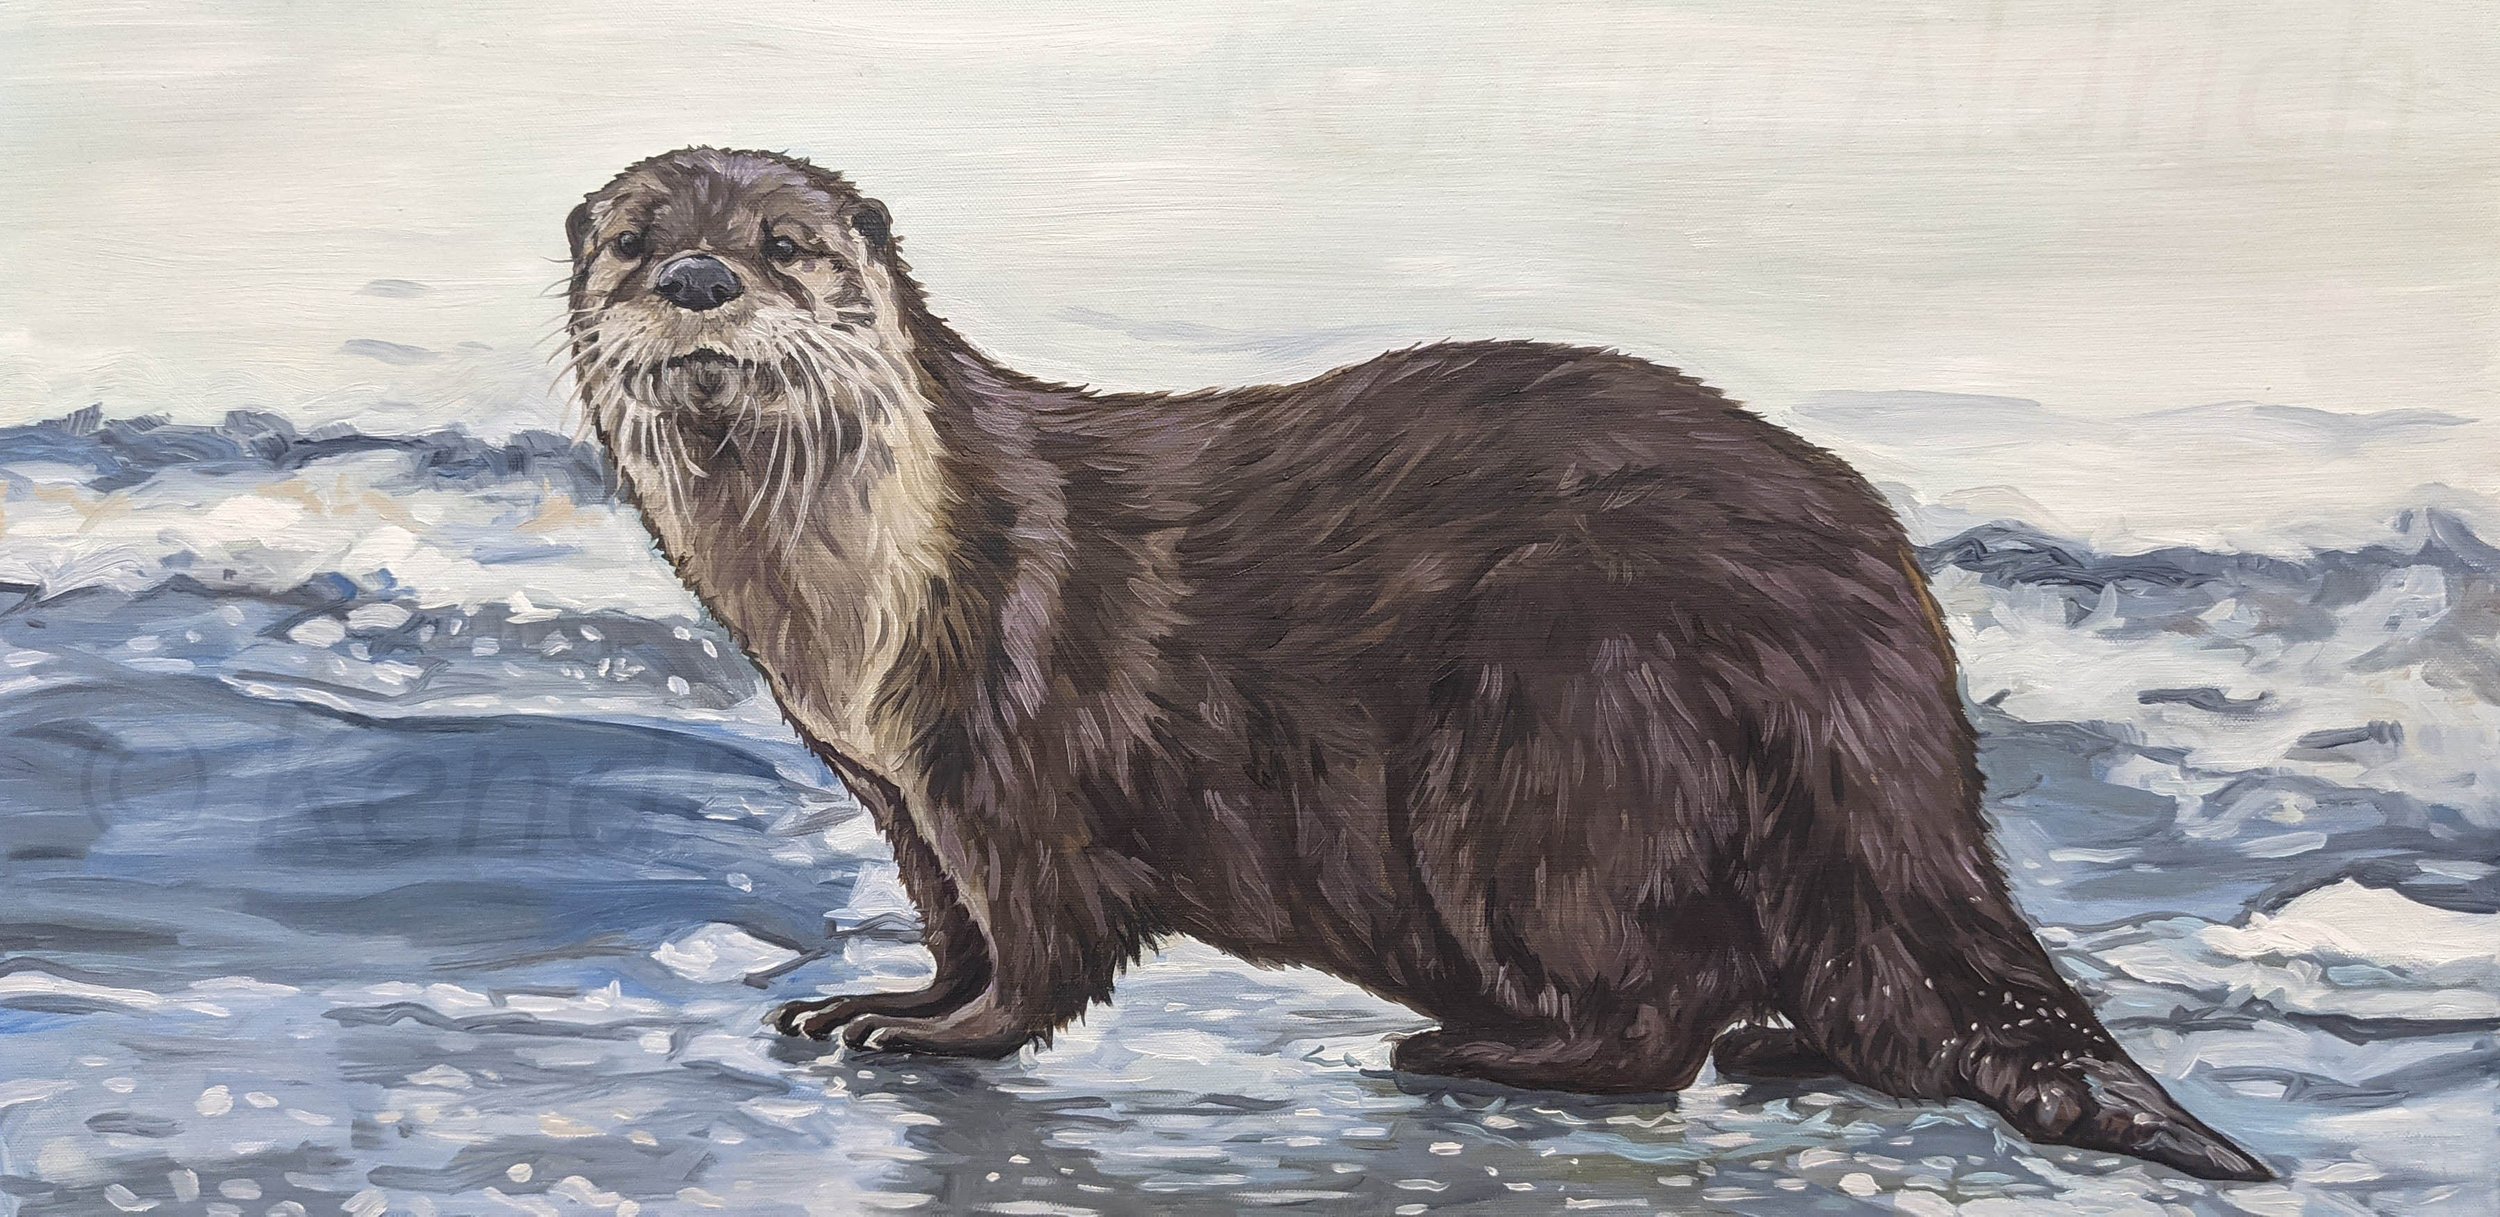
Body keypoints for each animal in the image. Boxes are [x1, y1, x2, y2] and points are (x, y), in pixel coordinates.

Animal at [563, 147, 2269, 1182]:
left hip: (1559, 720)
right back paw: (1776, 1046)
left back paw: (1471, 1047)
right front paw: (883, 995)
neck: (870, 611)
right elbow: (955, 922)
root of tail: (1891, 678)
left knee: (1653, 1011)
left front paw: (924, 1032)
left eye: (784, 245)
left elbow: (1040, 945)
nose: (700, 283)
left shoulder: (1017, 742)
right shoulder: (898, 785)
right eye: (636, 241)